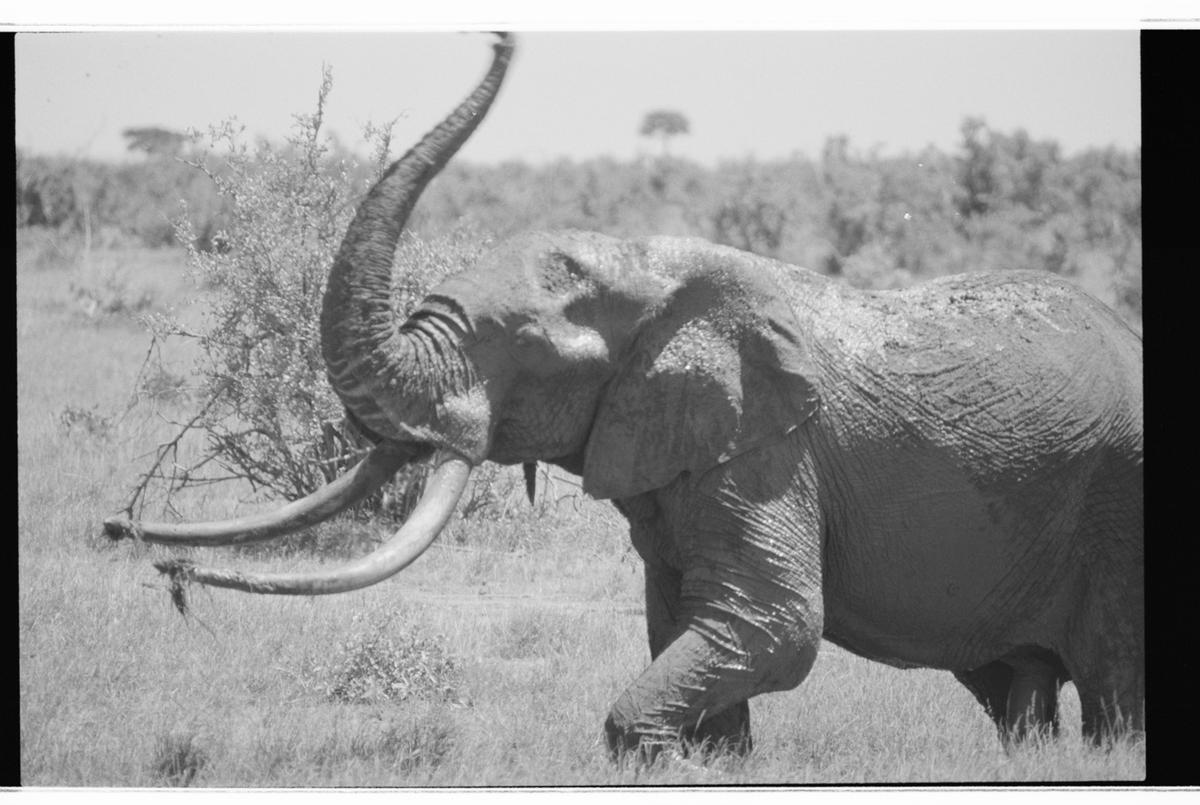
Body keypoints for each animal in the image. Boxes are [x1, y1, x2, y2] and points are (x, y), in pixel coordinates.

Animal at [104, 32, 1144, 758]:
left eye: (521, 349)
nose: (146, 550)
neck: (647, 263)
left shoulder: (767, 452)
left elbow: (772, 624)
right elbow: (687, 620)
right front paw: (707, 763)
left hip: (1118, 503)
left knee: (1115, 686)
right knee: (1017, 689)